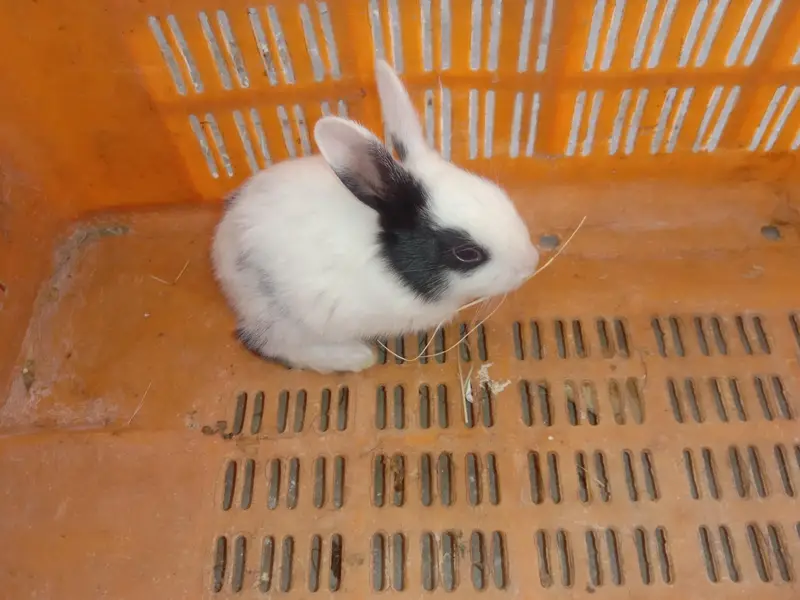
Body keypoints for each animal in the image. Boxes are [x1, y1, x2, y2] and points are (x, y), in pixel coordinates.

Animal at [211, 60, 539, 373]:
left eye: (498, 193)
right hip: (283, 318)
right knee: (271, 343)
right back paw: (355, 357)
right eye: (467, 253)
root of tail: (221, 253)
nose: (531, 263)